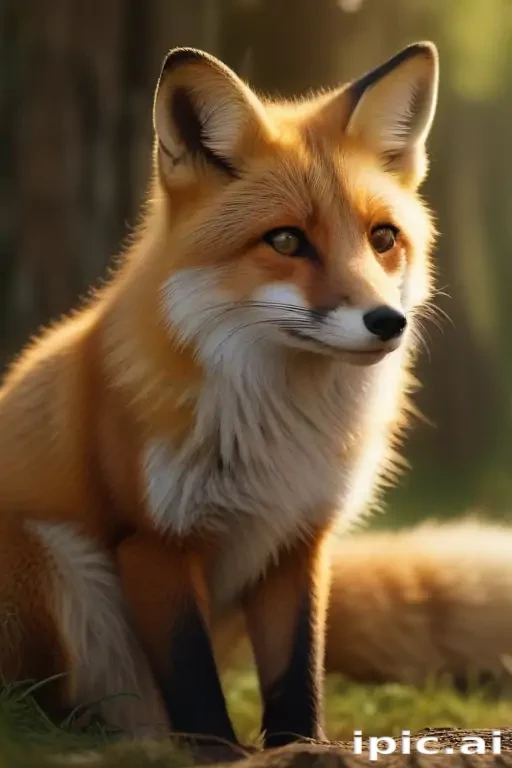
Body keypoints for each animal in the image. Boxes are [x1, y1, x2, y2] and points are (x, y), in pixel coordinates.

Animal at [0, 42, 438, 752]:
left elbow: (297, 674)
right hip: (59, 564)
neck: (281, 431)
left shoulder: (297, 539)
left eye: (382, 238)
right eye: (285, 240)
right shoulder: (152, 541)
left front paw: (299, 749)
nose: (386, 322)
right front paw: (218, 753)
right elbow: (192, 678)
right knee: (40, 712)